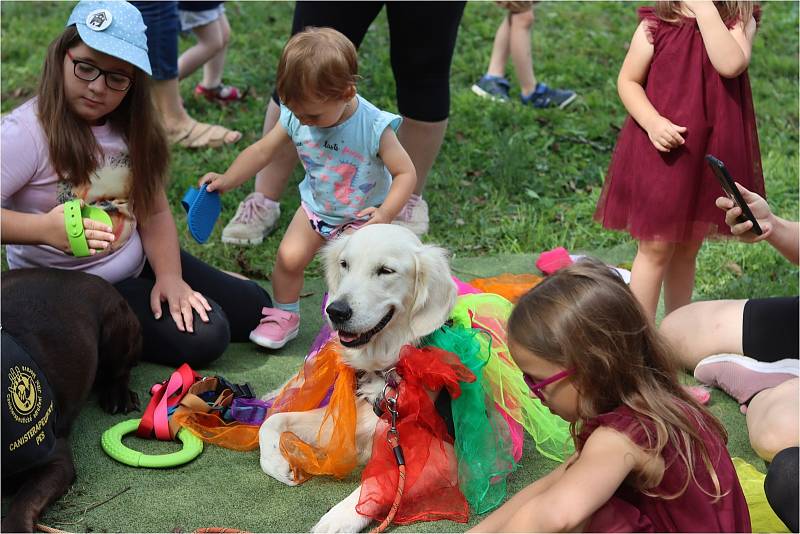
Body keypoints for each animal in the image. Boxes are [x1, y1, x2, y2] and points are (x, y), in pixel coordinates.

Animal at [258, 224, 456, 532]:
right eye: (345, 265)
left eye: (386, 271)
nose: (336, 311)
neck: (385, 370)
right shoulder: (347, 420)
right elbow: (272, 421)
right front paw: (278, 465)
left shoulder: (442, 452)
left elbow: (379, 481)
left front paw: (337, 520)